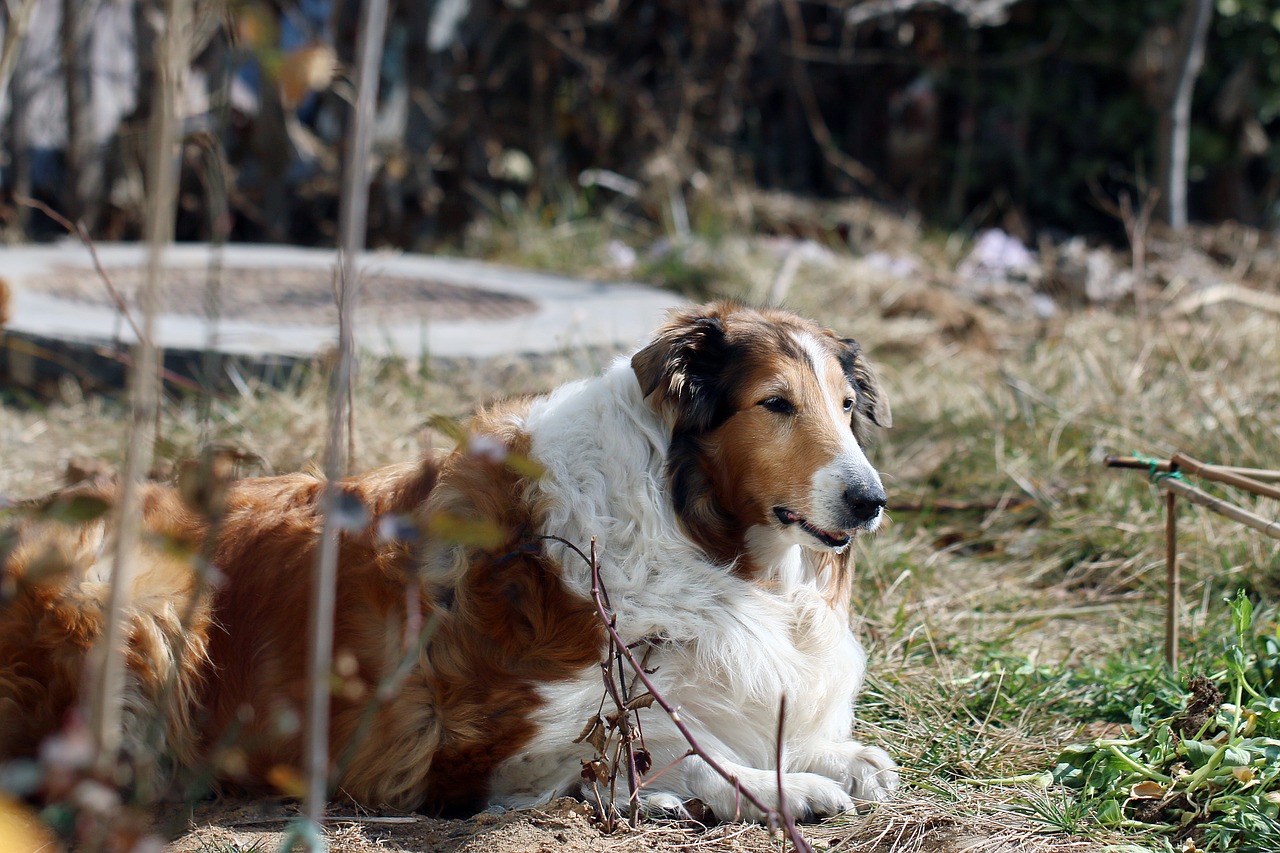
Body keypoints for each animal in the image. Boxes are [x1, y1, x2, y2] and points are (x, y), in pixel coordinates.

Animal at [0, 300, 901, 819]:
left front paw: (839, 757)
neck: (691, 529)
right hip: (136, 600)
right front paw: (782, 787)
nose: (870, 500)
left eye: (846, 406)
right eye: (776, 403)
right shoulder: (472, 745)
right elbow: (680, 743)